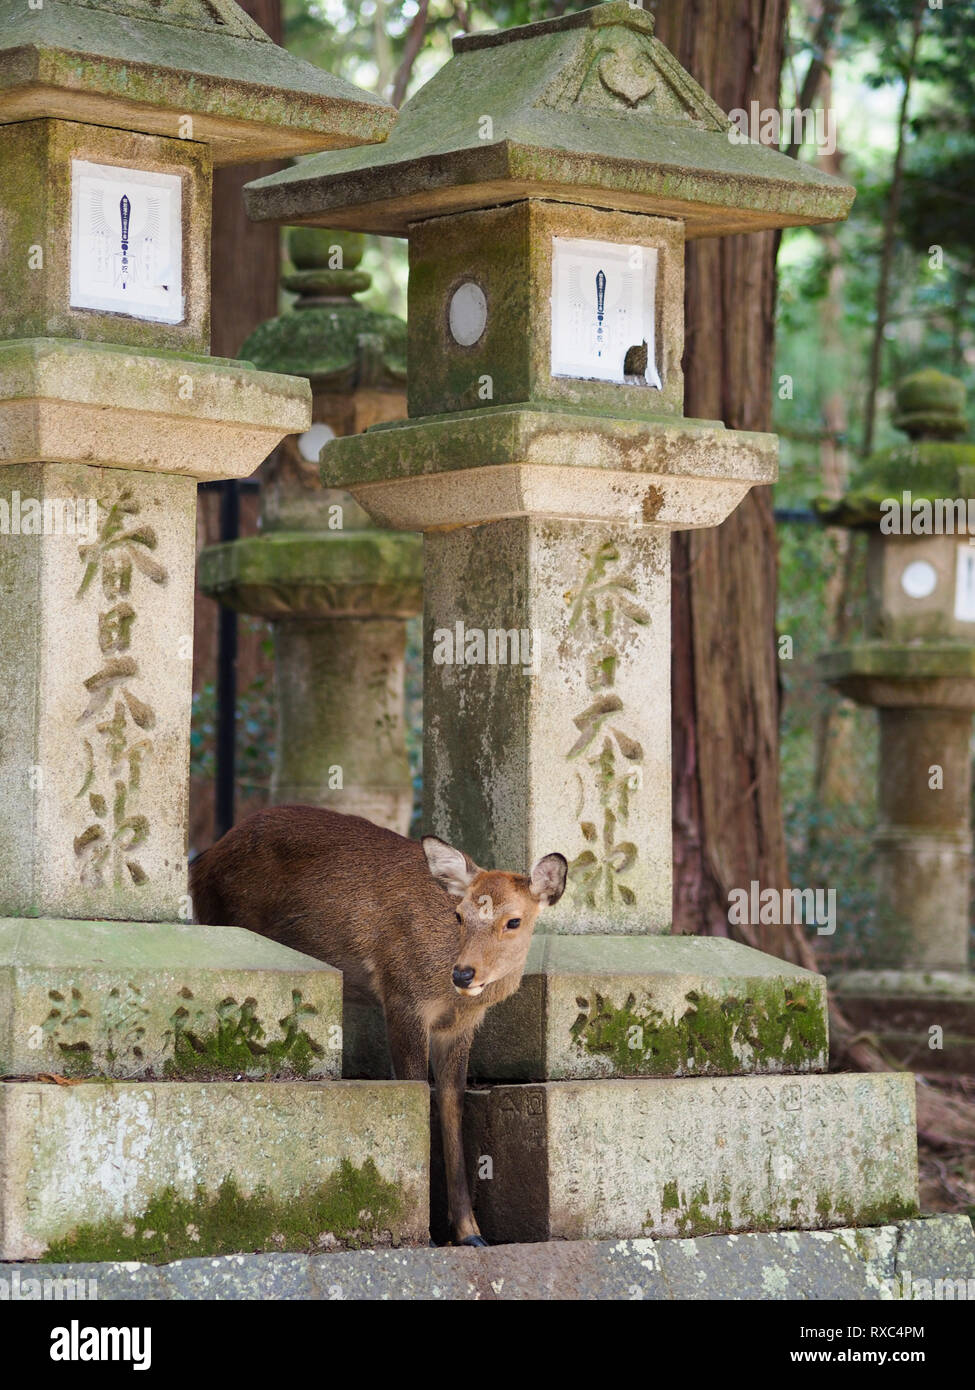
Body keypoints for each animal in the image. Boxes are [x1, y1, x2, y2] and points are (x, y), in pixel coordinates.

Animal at [187, 806, 561, 1251]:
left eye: (514, 921)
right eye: (459, 915)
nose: (464, 973)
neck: (448, 994)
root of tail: (200, 863)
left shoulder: (459, 1027)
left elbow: (452, 1106)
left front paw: (471, 1232)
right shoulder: (401, 996)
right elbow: (415, 1090)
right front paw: (428, 1234)